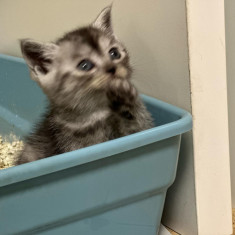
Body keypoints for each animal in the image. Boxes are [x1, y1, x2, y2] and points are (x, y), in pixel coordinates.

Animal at [16, 5, 152, 163]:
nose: (112, 68)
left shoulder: (142, 130)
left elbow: (140, 127)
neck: (99, 113)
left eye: (114, 53)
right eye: (85, 65)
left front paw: (126, 97)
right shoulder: (72, 145)